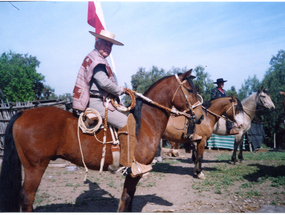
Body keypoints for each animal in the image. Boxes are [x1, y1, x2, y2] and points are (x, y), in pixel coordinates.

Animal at [0, 70, 203, 212]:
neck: (143, 122)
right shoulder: (134, 173)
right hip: (35, 167)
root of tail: (23, 112)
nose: (201, 116)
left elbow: (128, 200)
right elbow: (126, 200)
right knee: (27, 198)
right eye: (190, 90)